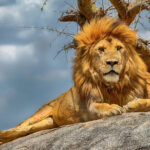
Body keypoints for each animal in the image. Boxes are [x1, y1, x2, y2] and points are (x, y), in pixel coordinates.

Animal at [0, 16, 150, 145]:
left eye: (119, 48)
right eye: (101, 50)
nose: (112, 62)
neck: (113, 85)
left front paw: (134, 105)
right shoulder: (89, 104)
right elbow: (98, 106)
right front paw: (112, 108)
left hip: (48, 123)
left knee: (26, 130)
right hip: (40, 113)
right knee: (21, 126)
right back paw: (3, 134)